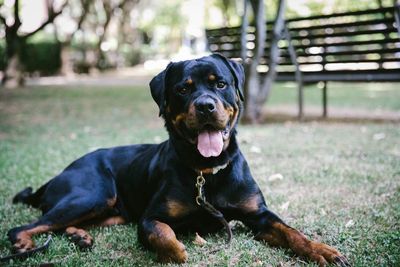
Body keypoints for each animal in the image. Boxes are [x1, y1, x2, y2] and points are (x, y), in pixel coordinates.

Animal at [7, 54, 348, 266]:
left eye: (220, 83)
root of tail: (58, 175)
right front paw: (176, 252)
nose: (206, 105)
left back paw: (80, 236)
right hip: (91, 194)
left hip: (111, 209)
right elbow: (161, 232)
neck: (207, 172)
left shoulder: (259, 215)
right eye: (183, 89)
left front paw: (322, 251)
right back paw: (24, 243)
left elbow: (292, 232)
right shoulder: (149, 217)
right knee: (30, 226)